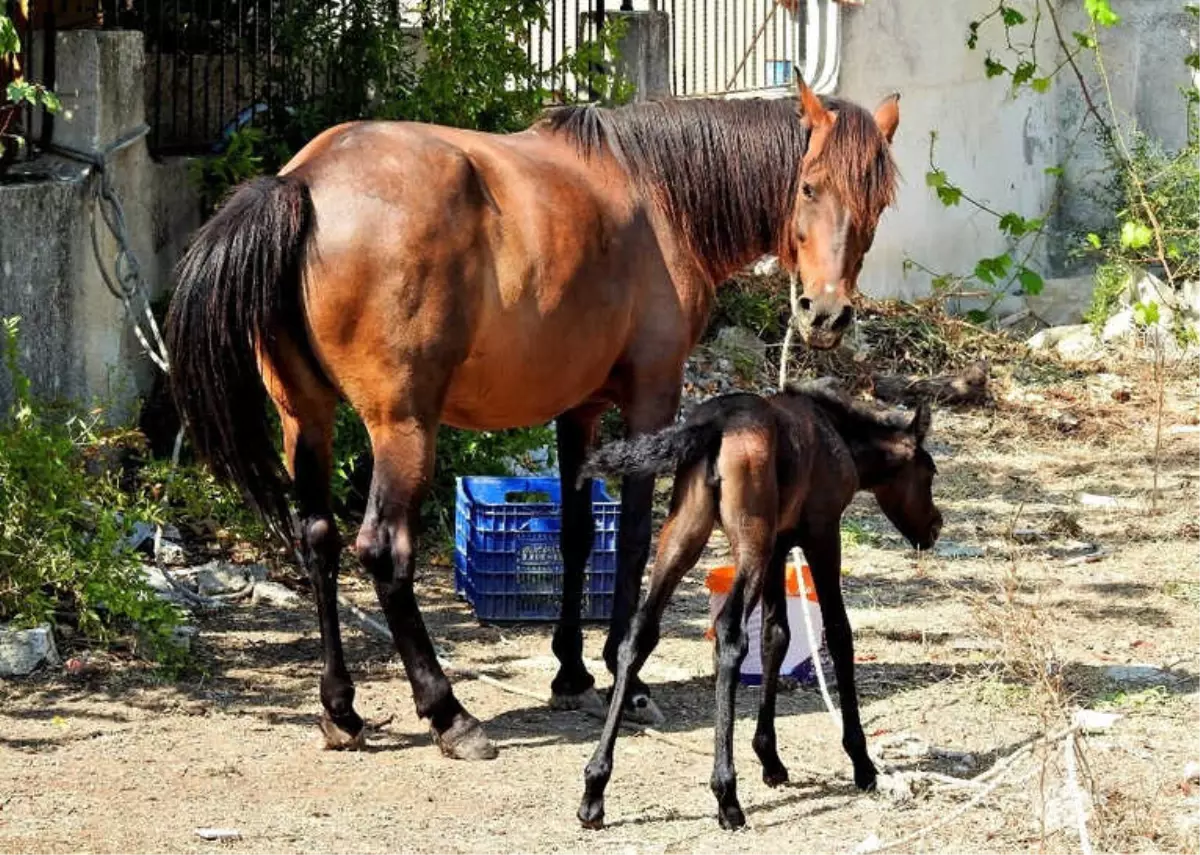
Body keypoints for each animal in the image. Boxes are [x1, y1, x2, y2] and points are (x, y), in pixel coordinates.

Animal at [166, 78, 902, 763]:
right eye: (808, 185)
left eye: (878, 203)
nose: (824, 314)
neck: (658, 193)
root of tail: (304, 182)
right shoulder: (651, 399)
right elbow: (634, 537)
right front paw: (626, 677)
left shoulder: (578, 407)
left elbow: (578, 534)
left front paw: (571, 671)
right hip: (402, 429)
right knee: (382, 551)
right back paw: (448, 712)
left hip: (304, 417)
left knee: (316, 538)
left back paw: (340, 709)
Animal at [576, 381, 940, 826]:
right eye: (929, 472)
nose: (935, 527)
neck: (838, 437)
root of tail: (715, 423)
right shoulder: (822, 534)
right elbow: (839, 633)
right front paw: (862, 762)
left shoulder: (780, 546)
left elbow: (776, 635)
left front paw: (770, 758)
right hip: (750, 540)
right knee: (730, 634)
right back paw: (726, 794)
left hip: (685, 534)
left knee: (639, 634)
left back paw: (594, 787)